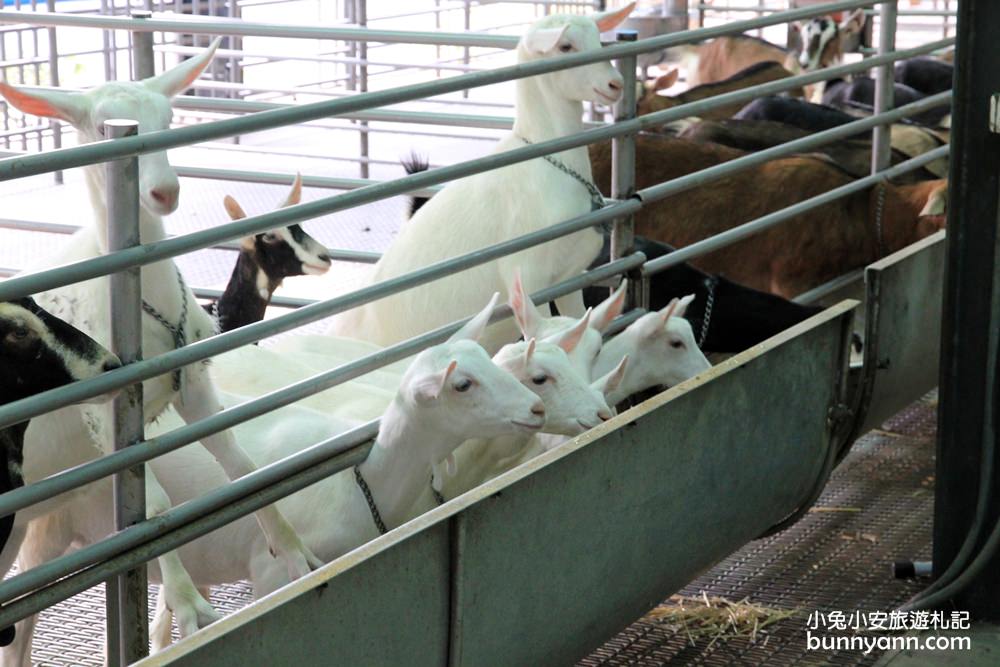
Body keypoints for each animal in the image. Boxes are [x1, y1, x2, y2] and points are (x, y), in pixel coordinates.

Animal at [0, 40, 320, 648]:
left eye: (170, 119)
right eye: (103, 127)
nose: (164, 191)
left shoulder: (193, 385)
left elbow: (240, 462)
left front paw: (295, 550)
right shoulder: (109, 417)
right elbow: (154, 503)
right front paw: (190, 604)